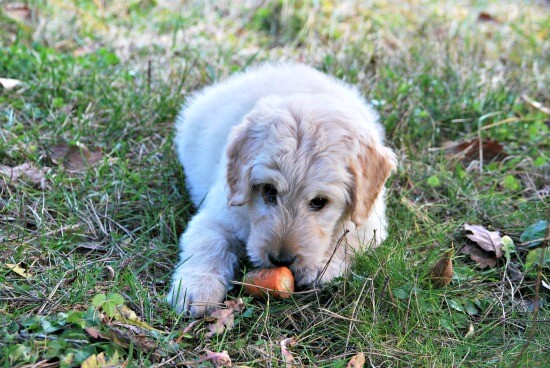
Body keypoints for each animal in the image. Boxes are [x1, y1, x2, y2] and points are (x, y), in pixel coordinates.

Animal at [168, 63, 396, 316]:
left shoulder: (370, 222)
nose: (281, 260)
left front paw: (322, 267)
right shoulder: (219, 214)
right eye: (269, 190)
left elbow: (347, 239)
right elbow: (209, 244)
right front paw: (197, 288)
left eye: (319, 202)